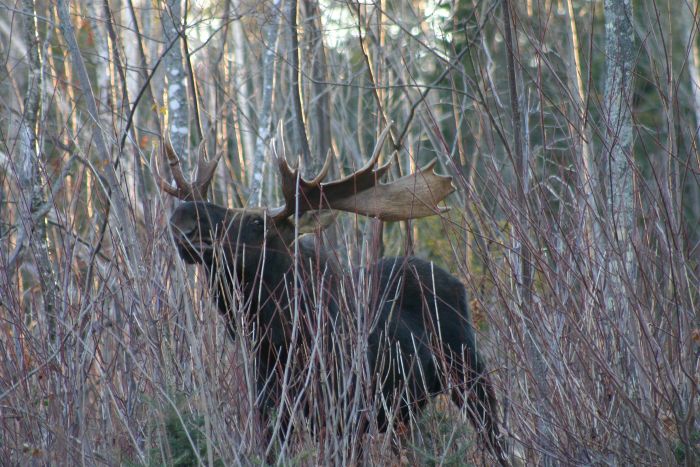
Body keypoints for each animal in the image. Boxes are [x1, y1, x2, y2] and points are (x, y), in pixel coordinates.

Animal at [155, 126, 508, 465]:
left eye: (257, 222)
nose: (184, 216)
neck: (279, 342)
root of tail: (456, 282)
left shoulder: (348, 414)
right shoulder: (271, 415)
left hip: (470, 372)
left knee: (495, 436)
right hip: (404, 410)